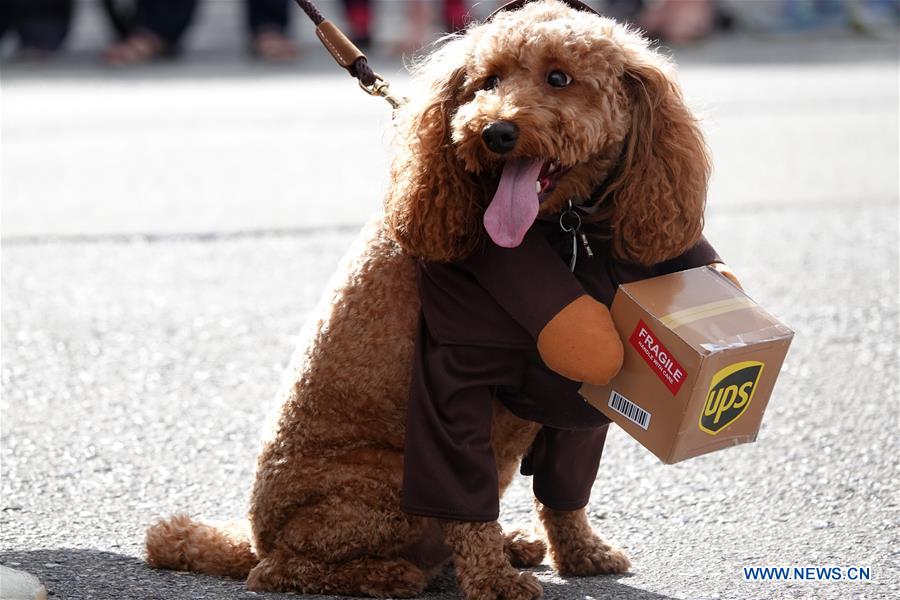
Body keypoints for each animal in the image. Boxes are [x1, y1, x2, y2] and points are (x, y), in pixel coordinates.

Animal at [146, 2, 716, 596]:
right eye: (486, 82)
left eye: (559, 78)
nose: (493, 131)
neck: (559, 234)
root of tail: (256, 534)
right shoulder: (452, 374)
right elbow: (465, 505)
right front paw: (494, 582)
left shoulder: (583, 391)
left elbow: (564, 493)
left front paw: (582, 553)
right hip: (378, 490)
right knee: (282, 570)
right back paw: (390, 574)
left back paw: (509, 544)